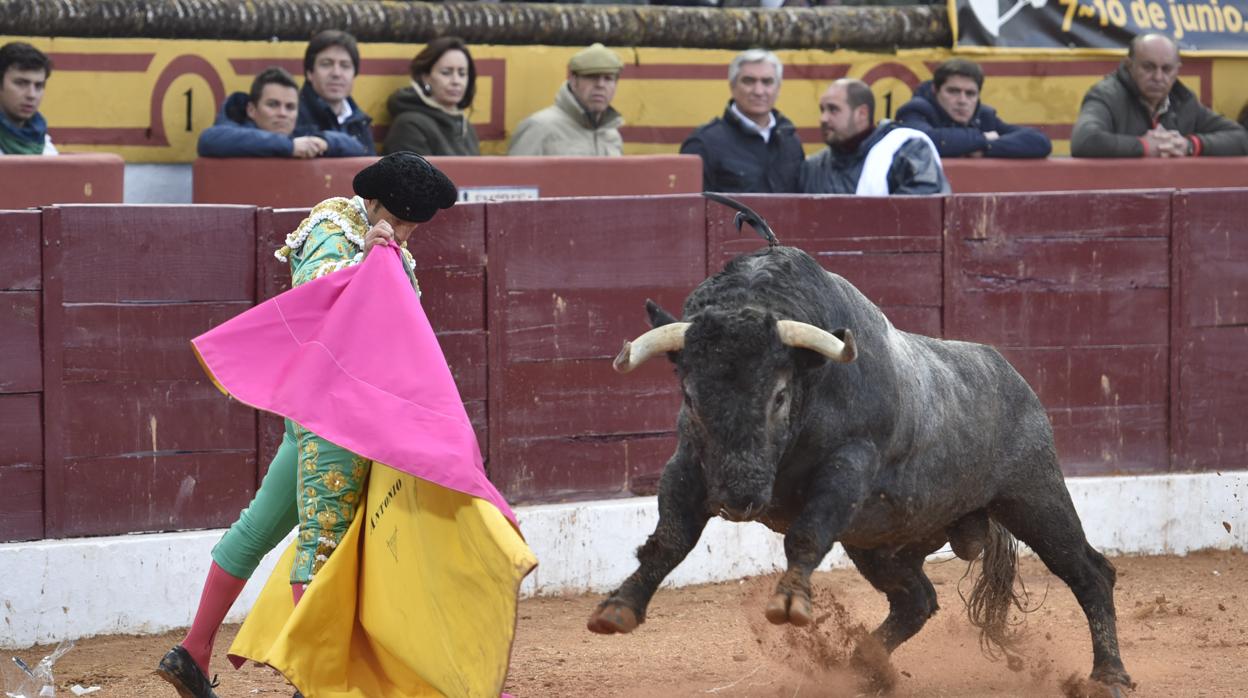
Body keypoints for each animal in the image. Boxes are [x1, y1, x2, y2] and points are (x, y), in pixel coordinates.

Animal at [584, 194, 1133, 694]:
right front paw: (618, 607)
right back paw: (866, 666)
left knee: (1090, 572)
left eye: (779, 395)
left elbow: (805, 534)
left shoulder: (849, 465)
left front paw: (790, 602)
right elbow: (671, 537)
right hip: (881, 542)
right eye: (691, 396)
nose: (738, 500)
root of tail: (1014, 378)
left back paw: (1109, 675)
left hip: (1034, 497)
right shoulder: (690, 465)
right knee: (916, 600)